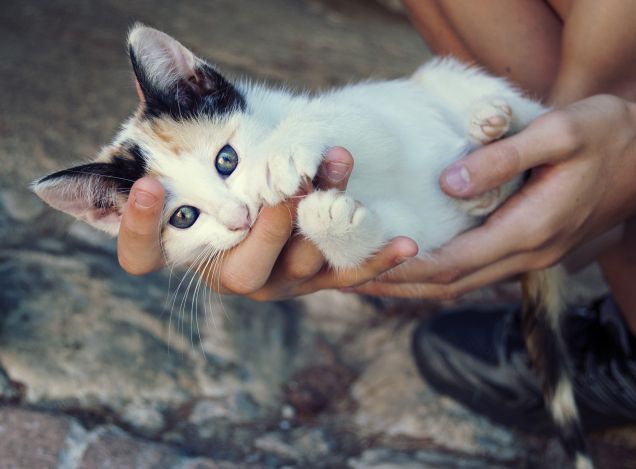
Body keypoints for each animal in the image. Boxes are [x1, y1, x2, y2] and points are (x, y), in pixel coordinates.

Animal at [32, 25, 592, 468]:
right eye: (183, 217)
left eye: (227, 159)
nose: (240, 216)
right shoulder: (417, 228)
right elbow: (394, 237)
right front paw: (332, 222)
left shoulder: (364, 118)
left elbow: (345, 122)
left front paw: (282, 153)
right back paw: (488, 192)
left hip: (451, 83)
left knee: (527, 116)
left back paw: (492, 123)